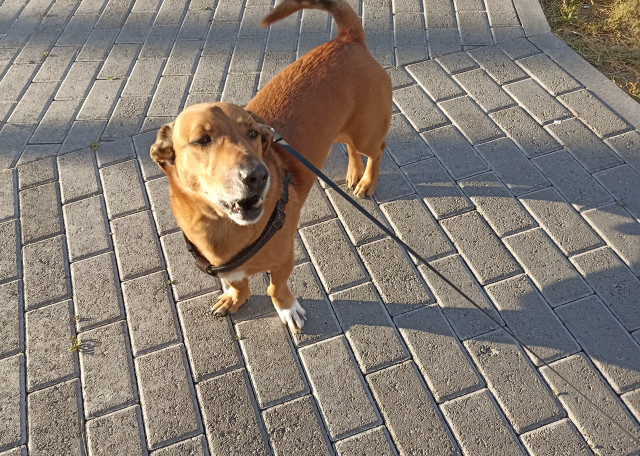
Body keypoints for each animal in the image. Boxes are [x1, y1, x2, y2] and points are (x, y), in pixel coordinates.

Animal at [150, 0, 392, 331]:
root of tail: (347, 39)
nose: (257, 176)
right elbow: (238, 284)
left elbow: (276, 288)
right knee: (351, 147)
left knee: (376, 150)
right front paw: (235, 298)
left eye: (253, 133)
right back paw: (355, 172)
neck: (220, 227)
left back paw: (367, 180)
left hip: (367, 131)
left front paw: (287, 308)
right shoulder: (229, 270)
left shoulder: (284, 259)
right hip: (343, 128)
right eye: (201, 140)